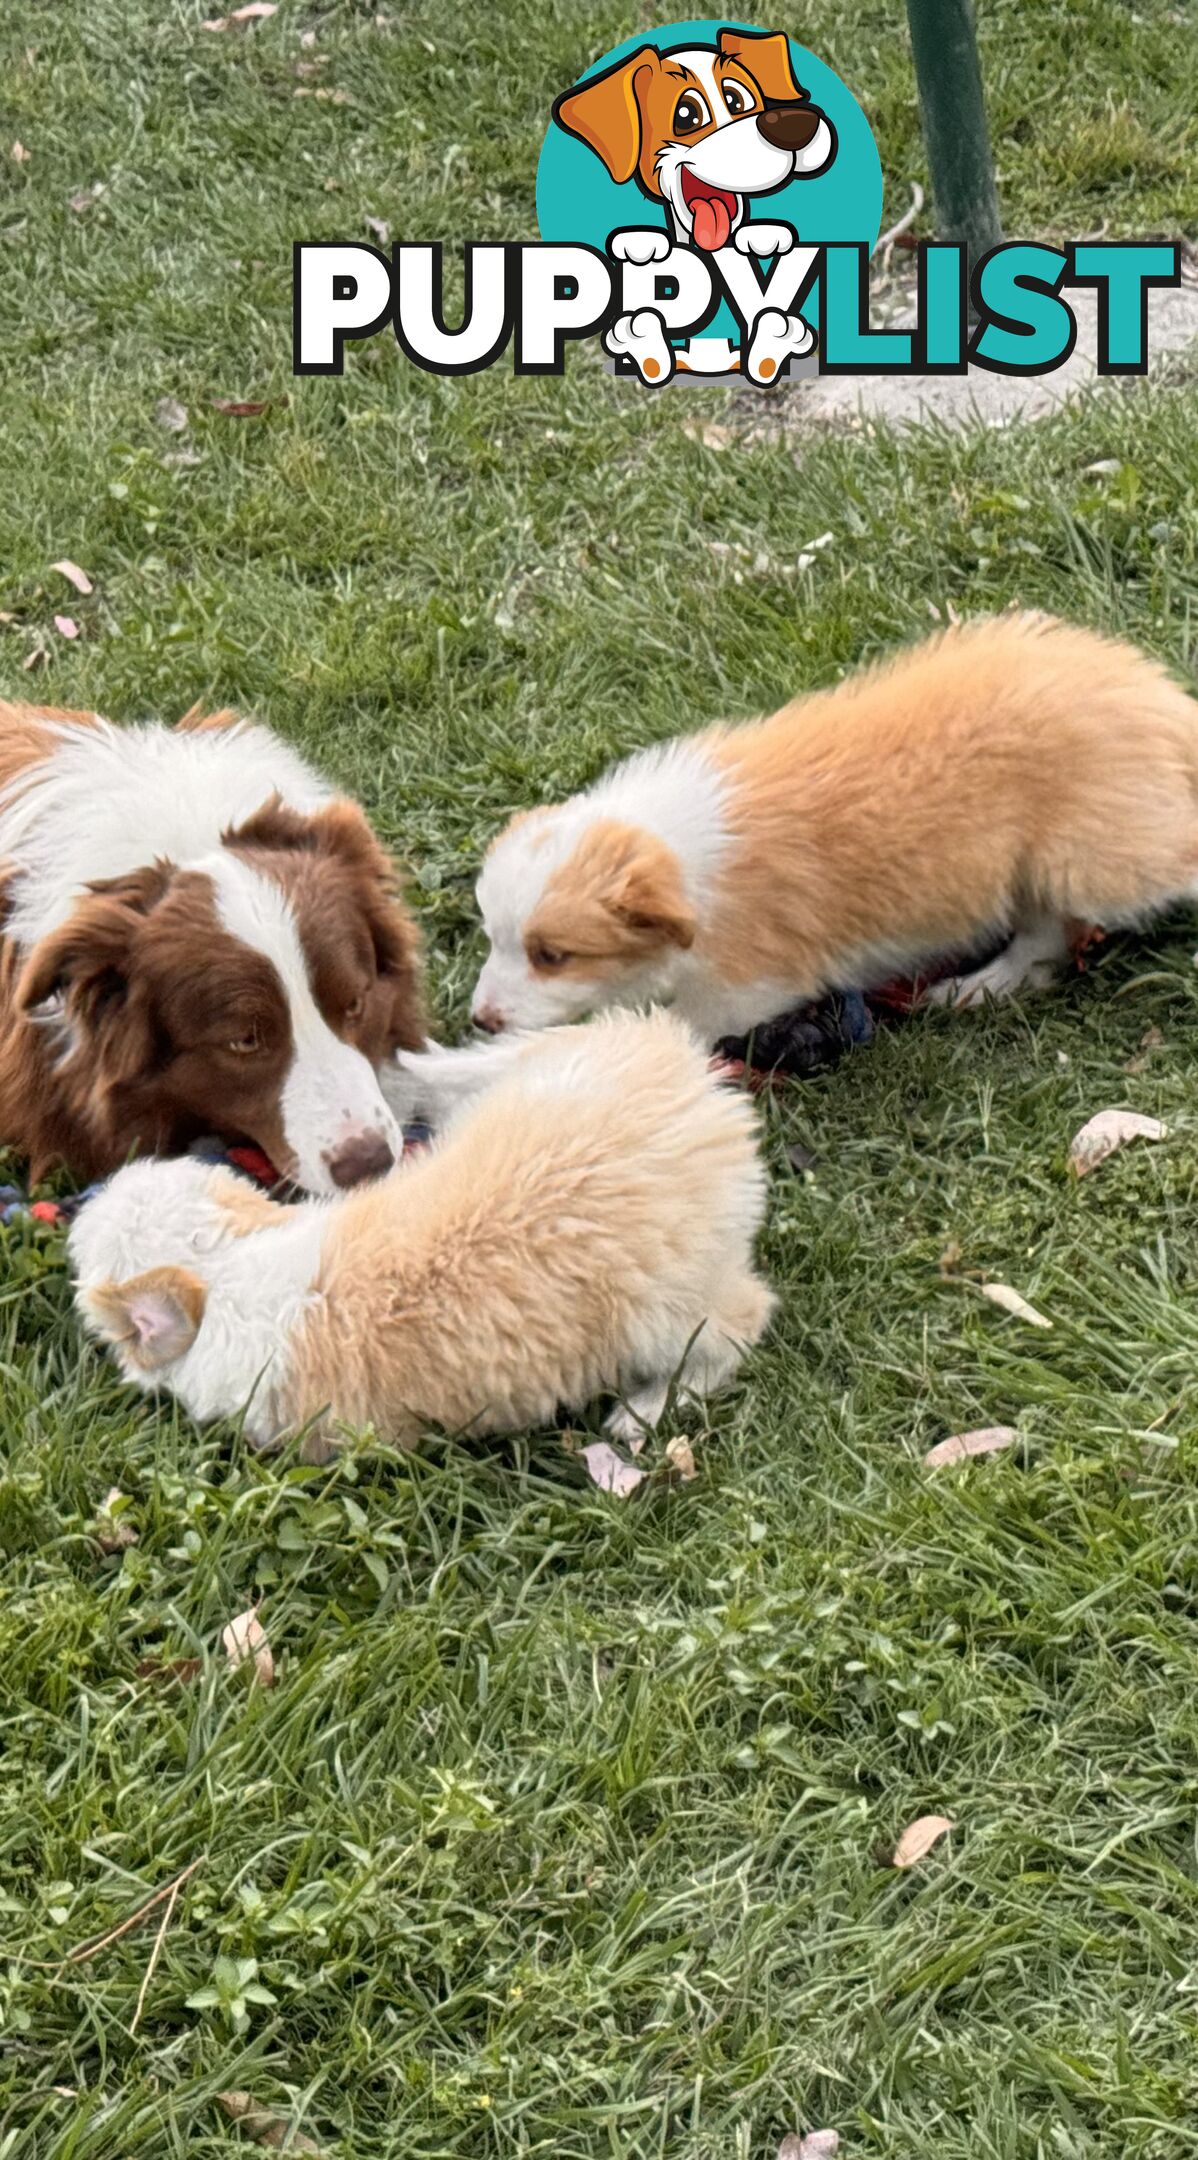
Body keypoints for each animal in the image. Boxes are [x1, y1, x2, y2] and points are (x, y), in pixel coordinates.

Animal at [70, 1006, 772, 1451]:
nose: (85, 1200)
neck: (225, 1270)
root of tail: (671, 1055)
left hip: (668, 1310)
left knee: (739, 1326)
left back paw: (642, 1413)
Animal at [457, 613, 1198, 1049]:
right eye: (493, 937)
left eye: (553, 955)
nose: (479, 1020)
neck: (677, 850)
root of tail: (1164, 704)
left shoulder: (739, 988)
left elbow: (671, 1023)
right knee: (1044, 941)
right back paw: (976, 988)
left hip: (1101, 860)